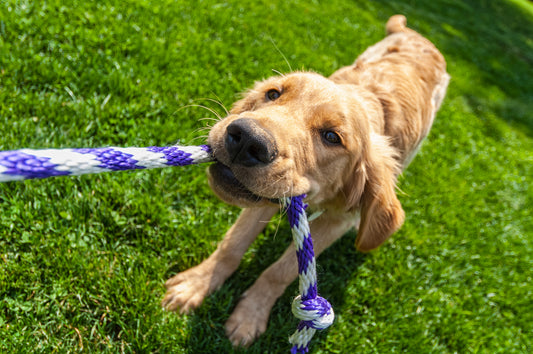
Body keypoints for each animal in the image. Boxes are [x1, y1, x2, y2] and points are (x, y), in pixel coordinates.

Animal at [162, 15, 448, 348]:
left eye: (332, 137)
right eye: (273, 94)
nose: (246, 140)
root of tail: (419, 36)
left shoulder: (336, 220)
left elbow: (280, 271)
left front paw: (249, 316)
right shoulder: (267, 196)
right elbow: (232, 244)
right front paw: (197, 285)